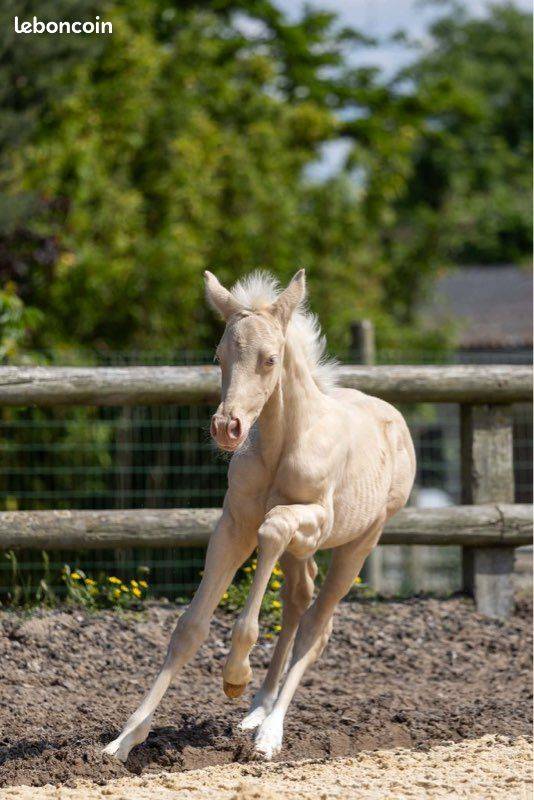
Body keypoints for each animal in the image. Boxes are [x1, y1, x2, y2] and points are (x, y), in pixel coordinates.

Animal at [103, 269, 416, 761]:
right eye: (219, 357)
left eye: (269, 360)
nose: (226, 427)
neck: (282, 441)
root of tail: (395, 420)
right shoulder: (233, 523)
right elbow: (190, 626)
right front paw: (126, 738)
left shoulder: (312, 520)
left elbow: (272, 531)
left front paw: (234, 675)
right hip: (305, 552)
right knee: (298, 601)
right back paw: (257, 709)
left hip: (361, 541)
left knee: (316, 625)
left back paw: (269, 732)